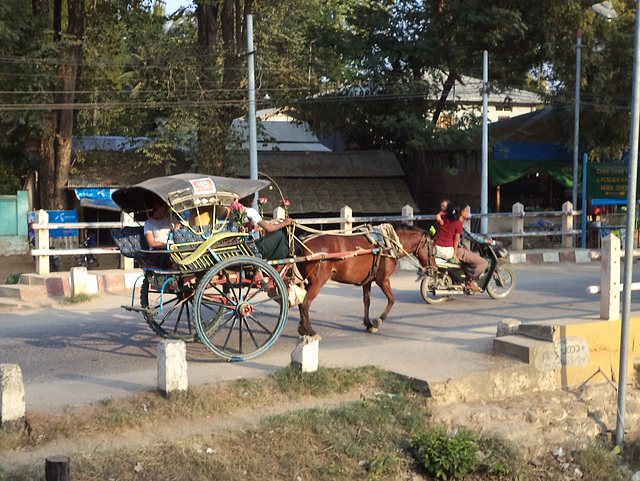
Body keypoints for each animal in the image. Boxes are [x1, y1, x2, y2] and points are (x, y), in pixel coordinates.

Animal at [292, 223, 432, 336]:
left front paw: (368, 324)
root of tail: (302, 244)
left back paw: (302, 328)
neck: (387, 245)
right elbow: (391, 299)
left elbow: (367, 301)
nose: (433, 270)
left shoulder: (368, 280)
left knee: (301, 303)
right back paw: (309, 330)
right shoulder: (383, 279)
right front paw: (378, 321)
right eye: (432, 249)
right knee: (305, 303)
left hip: (307, 281)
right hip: (318, 281)